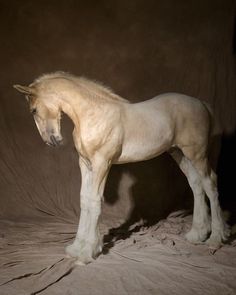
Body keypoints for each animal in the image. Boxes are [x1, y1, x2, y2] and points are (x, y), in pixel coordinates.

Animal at [13, 71, 230, 266]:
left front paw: (88, 252)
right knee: (196, 185)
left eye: (33, 110)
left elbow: (94, 201)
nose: (52, 141)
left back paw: (216, 238)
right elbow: (84, 200)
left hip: (197, 154)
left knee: (210, 183)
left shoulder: (102, 163)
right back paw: (197, 234)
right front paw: (76, 247)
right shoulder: (85, 164)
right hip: (179, 153)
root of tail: (202, 104)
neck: (94, 114)